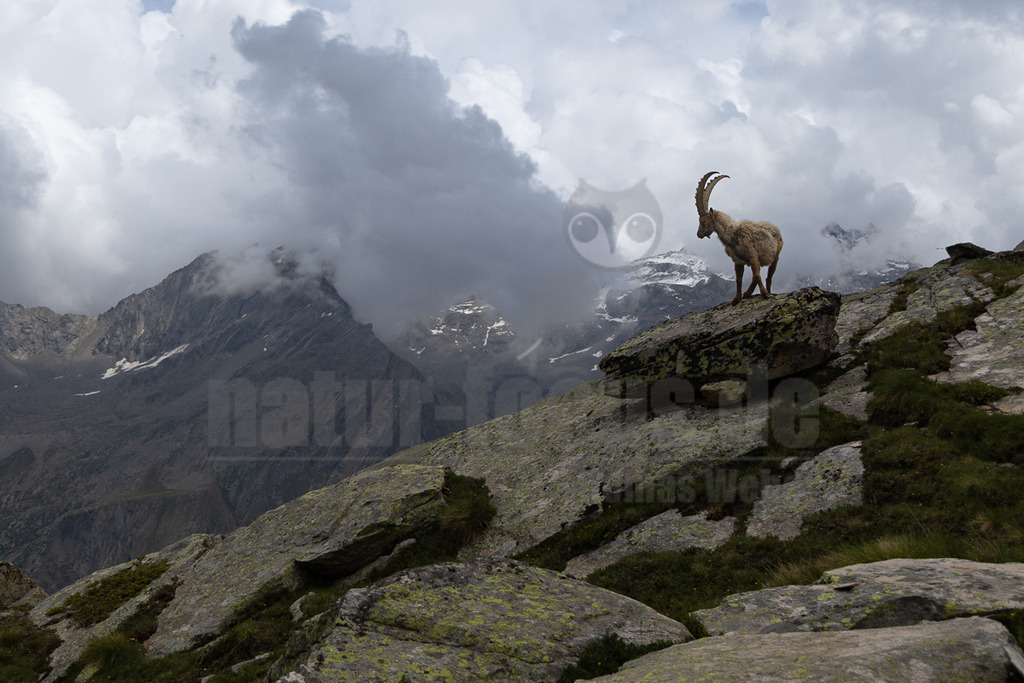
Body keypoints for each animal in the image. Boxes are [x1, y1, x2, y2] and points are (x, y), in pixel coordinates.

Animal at [695, 171, 783, 305]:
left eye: (704, 221)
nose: (699, 234)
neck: (732, 234)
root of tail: (775, 227)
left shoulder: (752, 256)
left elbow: (757, 275)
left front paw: (765, 294)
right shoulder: (738, 261)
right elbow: (739, 280)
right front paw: (736, 299)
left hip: (775, 256)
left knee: (768, 276)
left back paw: (767, 291)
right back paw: (747, 293)